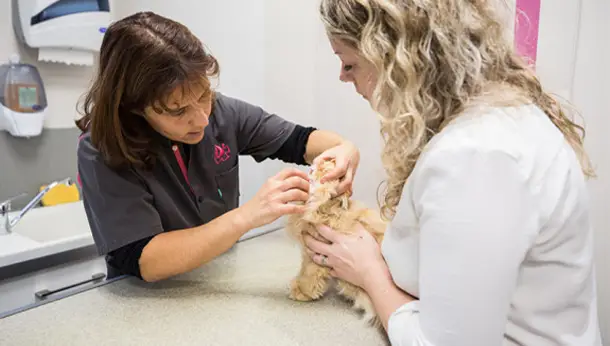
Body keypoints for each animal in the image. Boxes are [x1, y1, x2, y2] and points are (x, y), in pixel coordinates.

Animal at [284, 159, 384, 328]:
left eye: (324, 171)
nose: (312, 167)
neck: (326, 210)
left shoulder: (317, 256)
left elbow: (309, 275)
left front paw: (302, 292)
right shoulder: (309, 251)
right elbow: (303, 270)